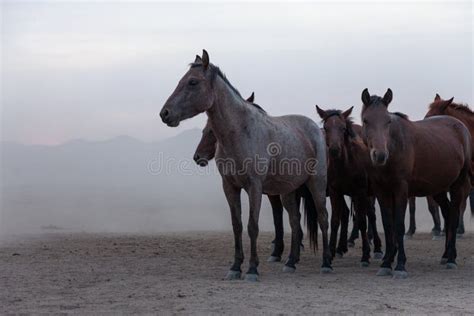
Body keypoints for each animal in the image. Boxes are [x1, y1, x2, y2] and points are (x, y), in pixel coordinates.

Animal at [161, 50, 332, 280]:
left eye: (193, 82)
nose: (165, 113)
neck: (241, 132)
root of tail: (316, 129)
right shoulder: (230, 187)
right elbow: (237, 226)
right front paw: (235, 267)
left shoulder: (254, 187)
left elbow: (252, 226)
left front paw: (252, 269)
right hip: (288, 191)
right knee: (295, 223)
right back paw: (290, 262)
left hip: (317, 184)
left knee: (323, 218)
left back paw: (326, 263)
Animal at [316, 105, 384, 264]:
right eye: (326, 127)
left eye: (343, 128)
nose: (334, 149)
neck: (346, 165)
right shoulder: (335, 192)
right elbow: (335, 220)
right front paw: (331, 253)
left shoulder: (360, 192)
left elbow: (362, 220)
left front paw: (365, 255)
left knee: (371, 215)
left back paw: (377, 248)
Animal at [362, 87, 470, 278]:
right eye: (366, 120)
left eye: (388, 121)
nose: (380, 155)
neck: (394, 146)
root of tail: (460, 126)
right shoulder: (381, 191)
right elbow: (388, 225)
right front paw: (386, 263)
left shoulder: (401, 190)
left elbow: (399, 225)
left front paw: (400, 266)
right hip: (438, 189)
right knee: (448, 213)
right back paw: (447, 255)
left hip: (458, 185)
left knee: (455, 214)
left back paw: (451, 259)